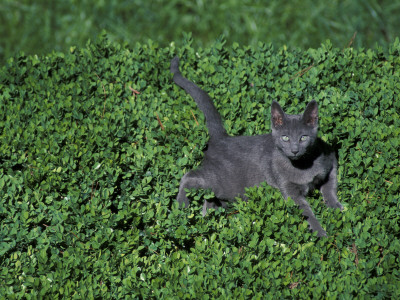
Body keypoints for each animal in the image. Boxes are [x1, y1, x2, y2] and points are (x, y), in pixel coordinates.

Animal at [170, 56, 342, 237]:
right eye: (285, 137)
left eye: (303, 137)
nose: (294, 150)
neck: (303, 165)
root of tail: (221, 138)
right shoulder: (287, 188)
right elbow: (305, 211)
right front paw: (320, 232)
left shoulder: (329, 159)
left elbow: (330, 185)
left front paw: (336, 207)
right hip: (222, 182)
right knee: (189, 176)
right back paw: (181, 205)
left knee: (209, 197)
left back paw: (209, 215)